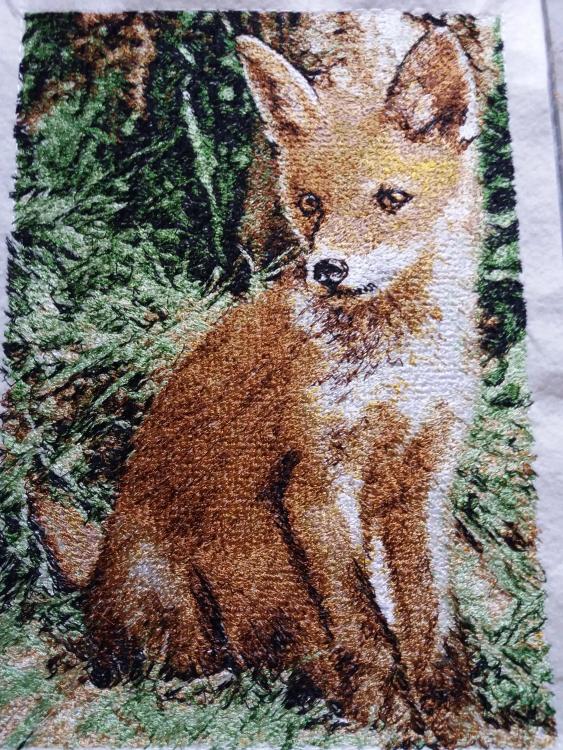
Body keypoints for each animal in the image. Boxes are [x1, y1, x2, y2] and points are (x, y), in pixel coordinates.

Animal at [33, 17, 484, 747]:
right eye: (310, 203)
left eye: (391, 199)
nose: (328, 269)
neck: (393, 369)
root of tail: (96, 569)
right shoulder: (313, 483)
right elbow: (360, 619)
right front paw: (381, 712)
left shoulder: (419, 483)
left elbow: (428, 621)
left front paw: (449, 716)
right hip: (174, 597)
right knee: (141, 669)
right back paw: (224, 691)